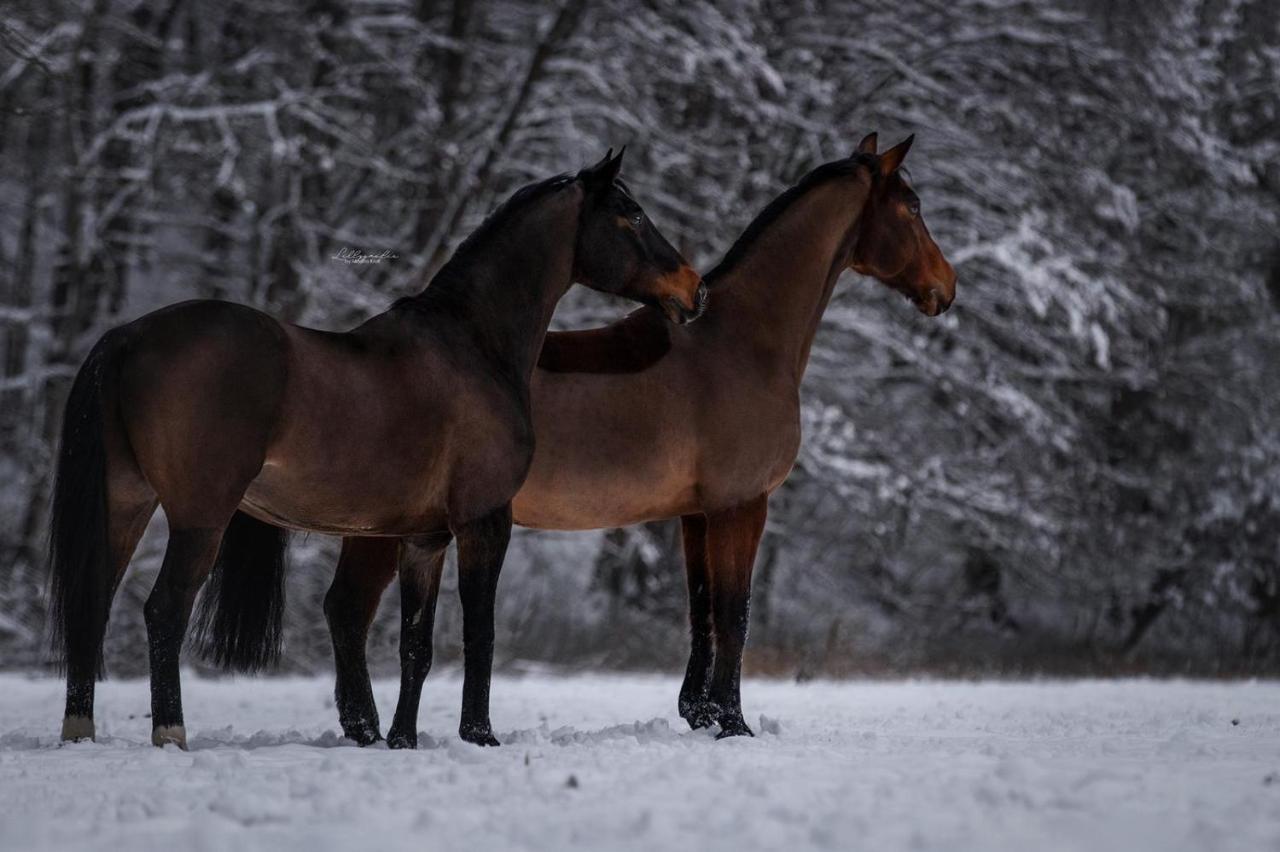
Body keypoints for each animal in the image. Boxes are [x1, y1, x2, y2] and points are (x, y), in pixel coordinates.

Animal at [49, 149, 706, 747]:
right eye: (633, 215)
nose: (694, 290)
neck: (474, 343)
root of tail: (127, 337)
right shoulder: (484, 522)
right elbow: (480, 633)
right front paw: (479, 736)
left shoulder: (423, 538)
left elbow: (416, 644)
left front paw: (402, 739)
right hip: (199, 517)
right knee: (164, 610)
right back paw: (171, 735)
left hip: (126, 504)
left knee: (93, 601)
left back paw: (79, 732)